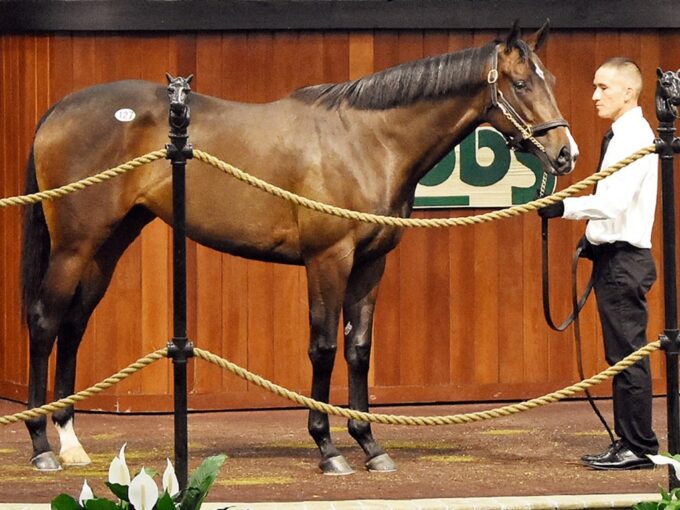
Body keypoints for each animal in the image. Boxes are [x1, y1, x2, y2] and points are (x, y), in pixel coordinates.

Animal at [21, 19, 576, 474]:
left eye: (552, 80)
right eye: (521, 83)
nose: (564, 154)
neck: (367, 141)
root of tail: (58, 109)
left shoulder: (371, 264)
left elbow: (358, 349)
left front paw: (370, 444)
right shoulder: (328, 260)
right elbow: (324, 347)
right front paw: (327, 448)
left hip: (108, 245)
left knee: (74, 325)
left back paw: (70, 442)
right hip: (74, 247)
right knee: (46, 322)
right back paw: (41, 445)